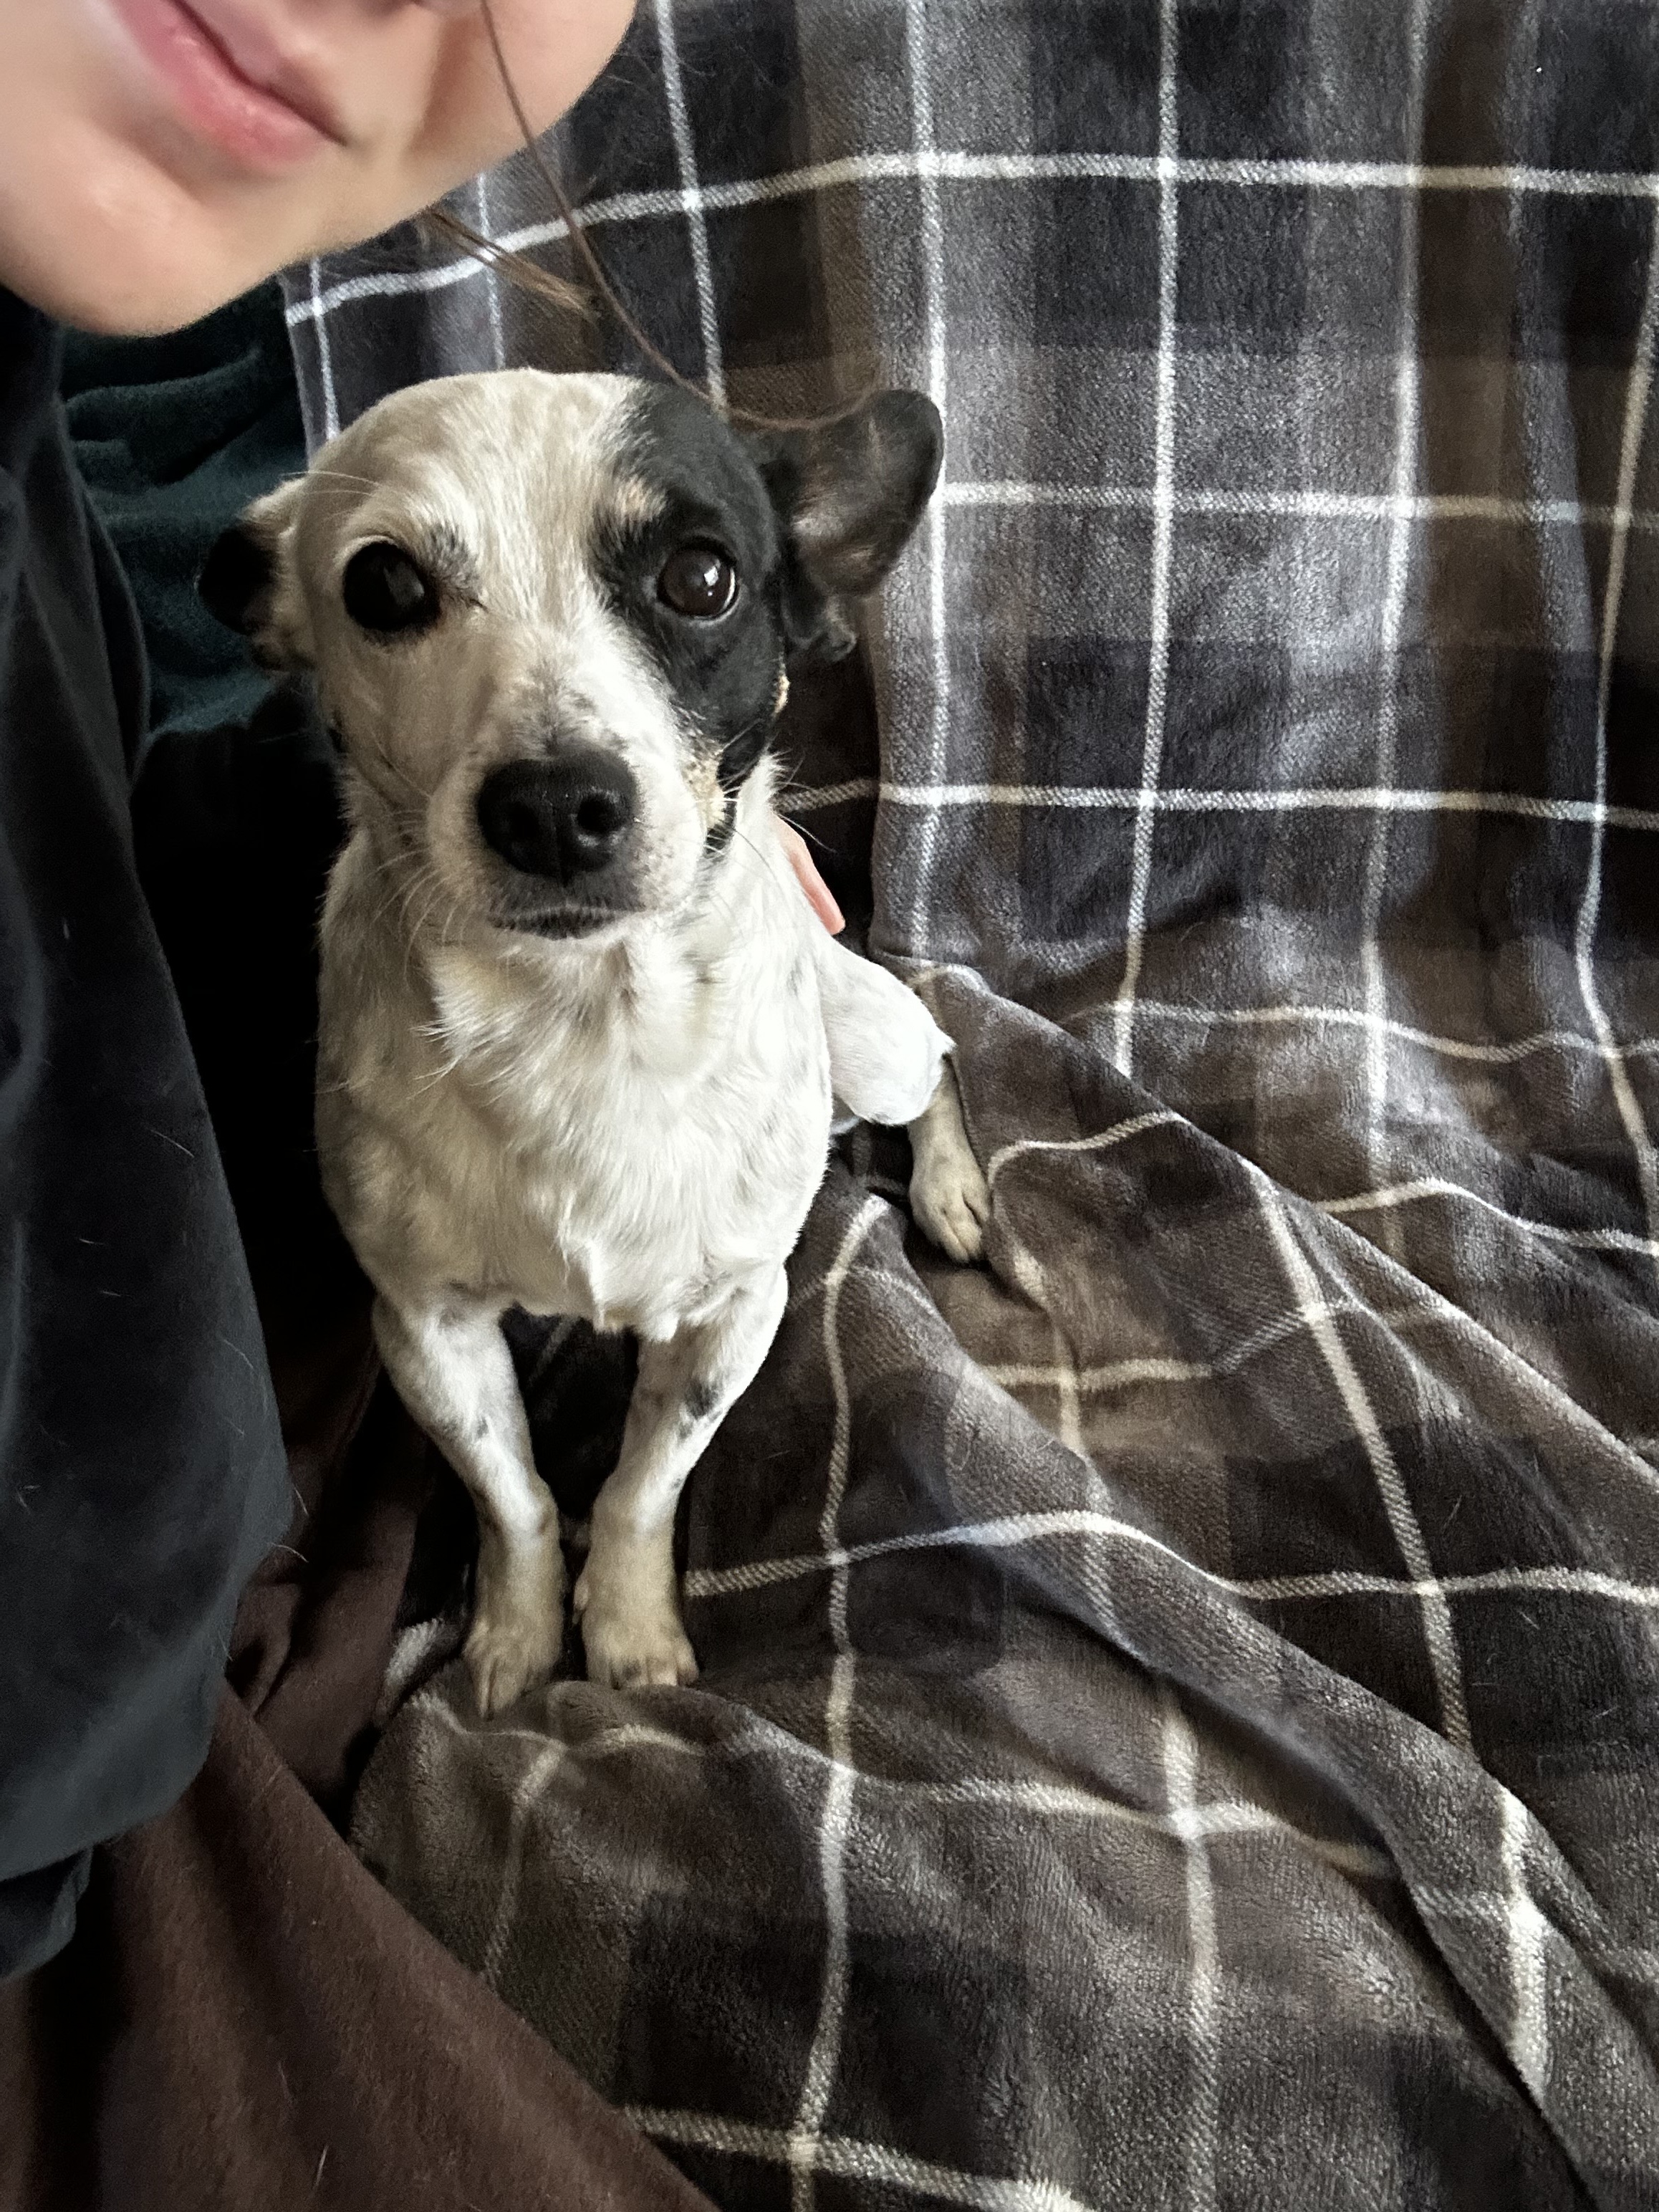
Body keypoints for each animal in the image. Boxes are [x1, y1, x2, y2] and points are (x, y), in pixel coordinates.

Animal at [201, 369, 990, 1713]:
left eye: (702, 577)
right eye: (384, 586)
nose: (555, 804)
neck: (583, 1017)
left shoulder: (732, 1316)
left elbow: (639, 1484)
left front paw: (627, 1628)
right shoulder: (426, 1330)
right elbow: (514, 1490)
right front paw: (518, 1633)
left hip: (867, 1034)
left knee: (936, 1057)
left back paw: (950, 1189)